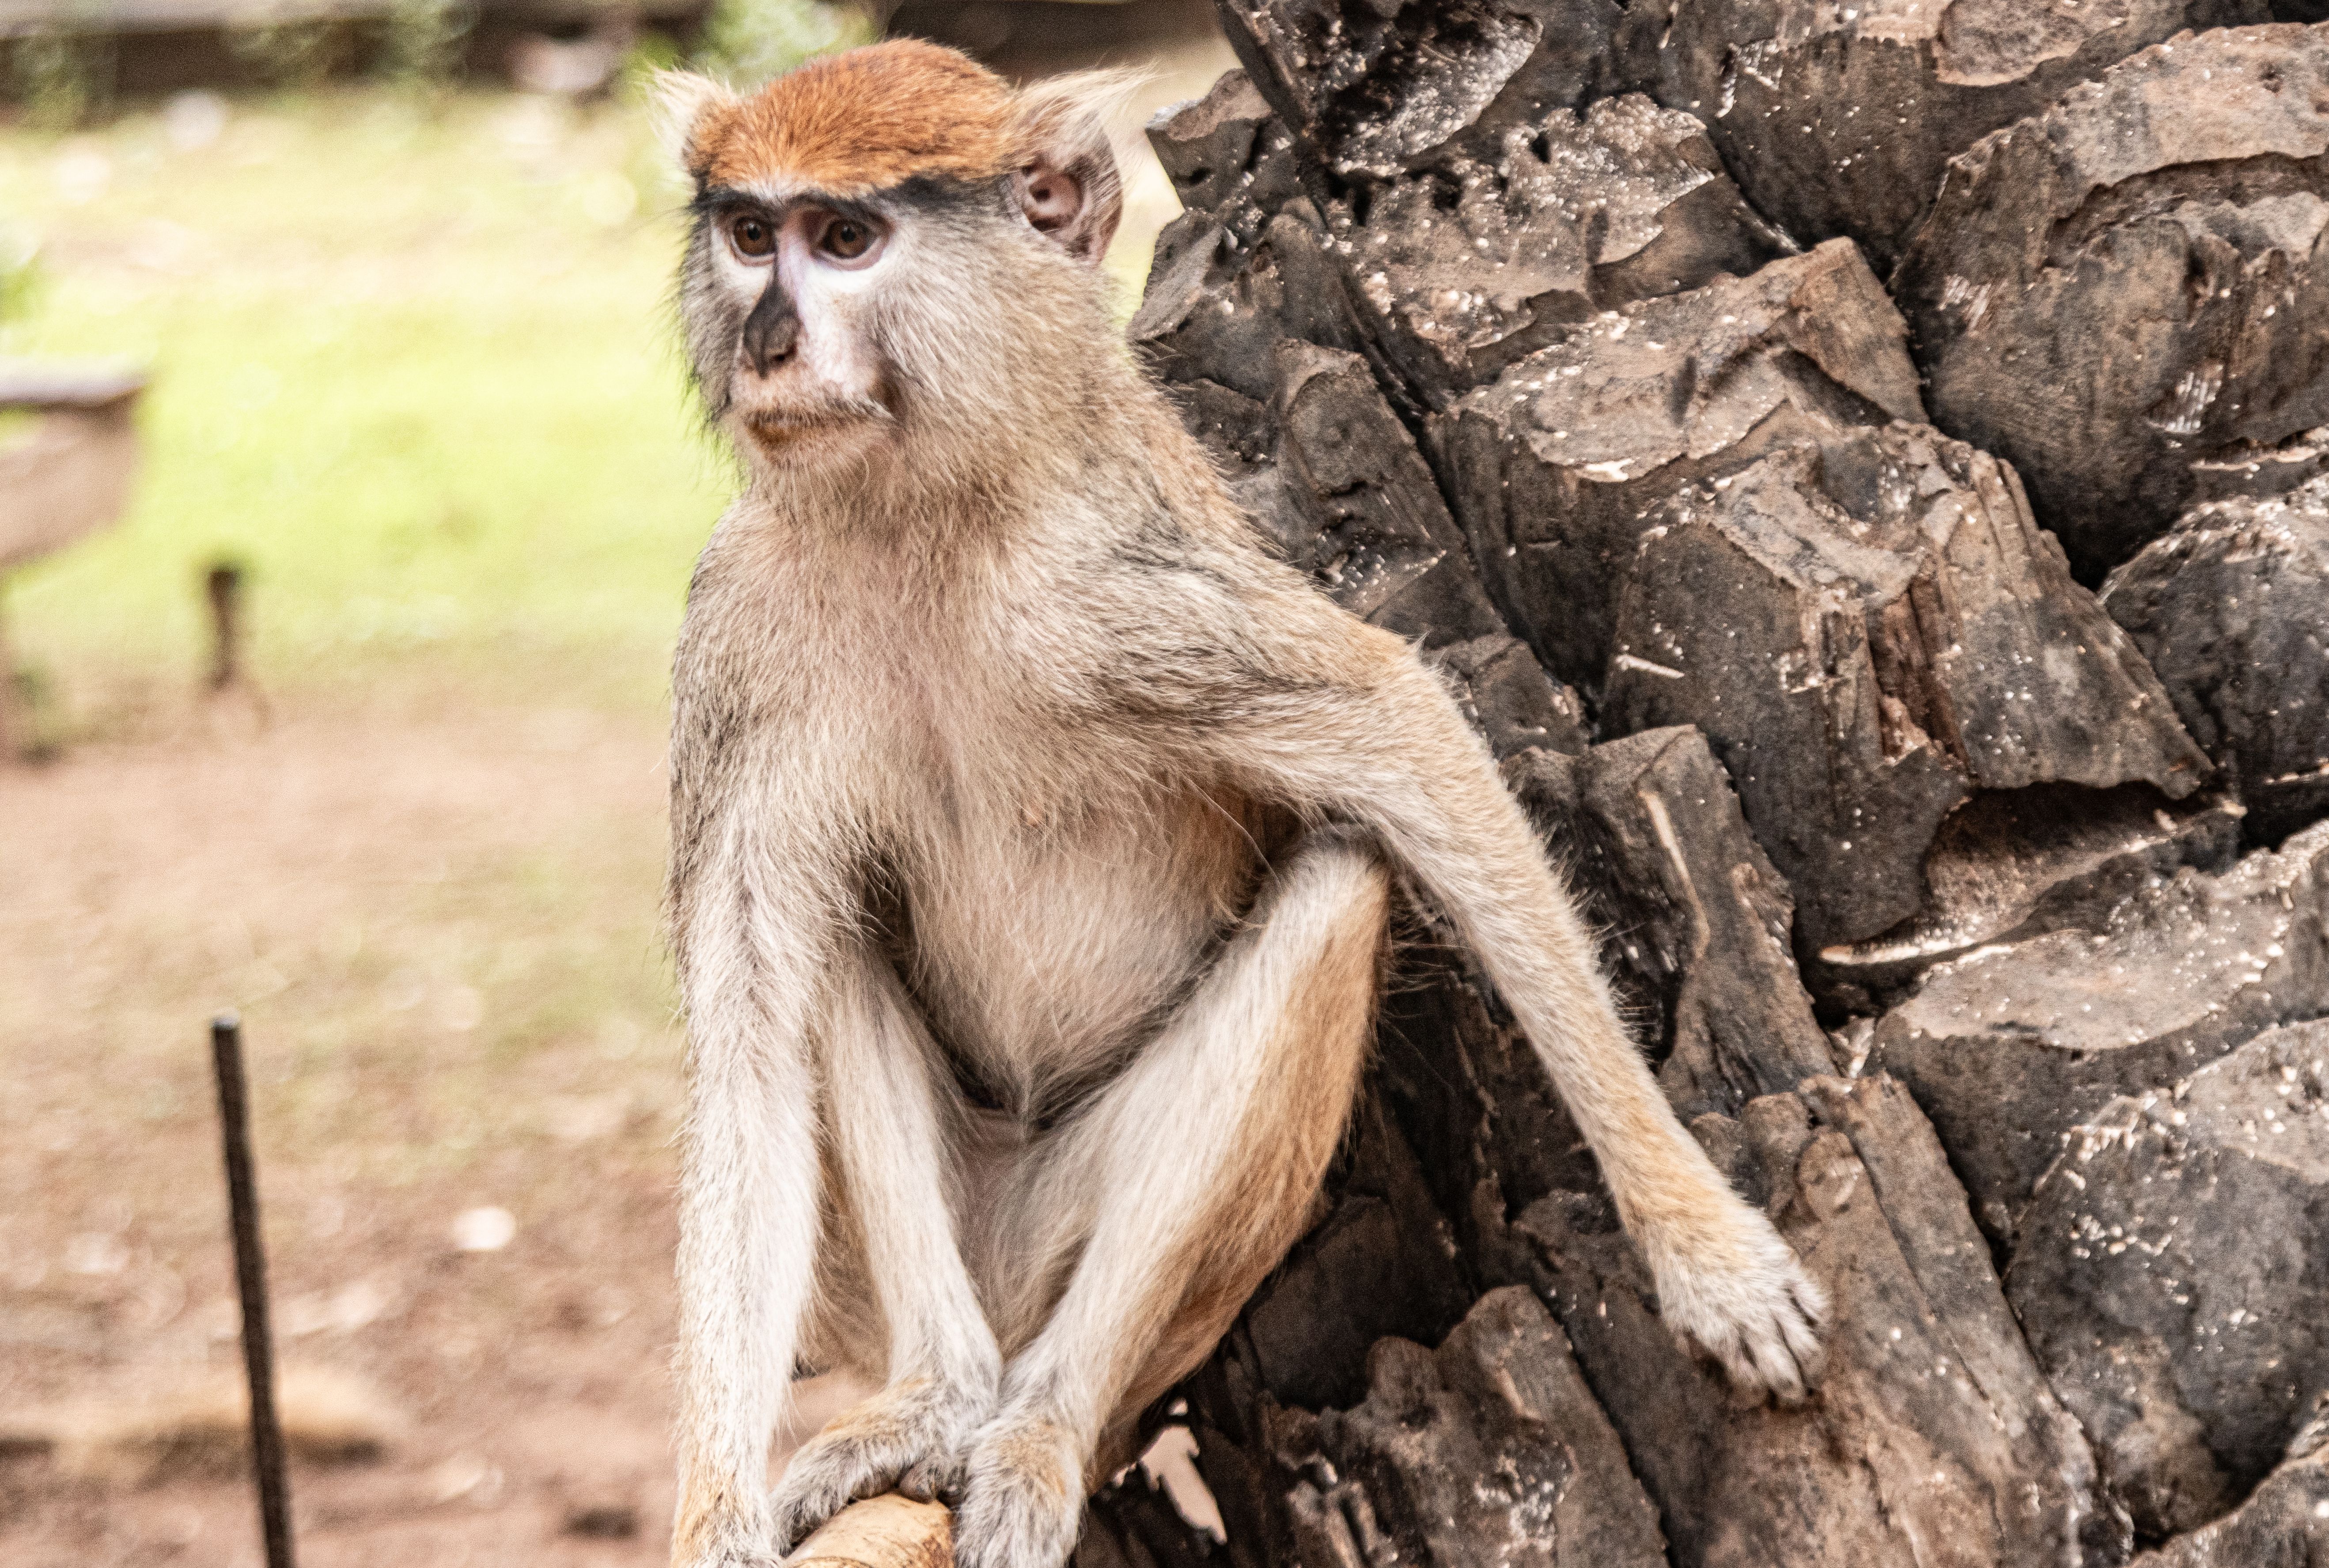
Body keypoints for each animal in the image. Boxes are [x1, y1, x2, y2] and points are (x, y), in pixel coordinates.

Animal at [655, 40, 1826, 1568]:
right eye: (749, 234)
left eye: (844, 240)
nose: (769, 346)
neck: (922, 511)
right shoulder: (742, 634)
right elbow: (744, 1027)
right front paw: (711, 1511)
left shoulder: (1113, 595)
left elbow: (1398, 730)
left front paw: (1706, 1250)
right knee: (832, 946)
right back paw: (939, 1397)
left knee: (1339, 882)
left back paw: (1036, 1426)